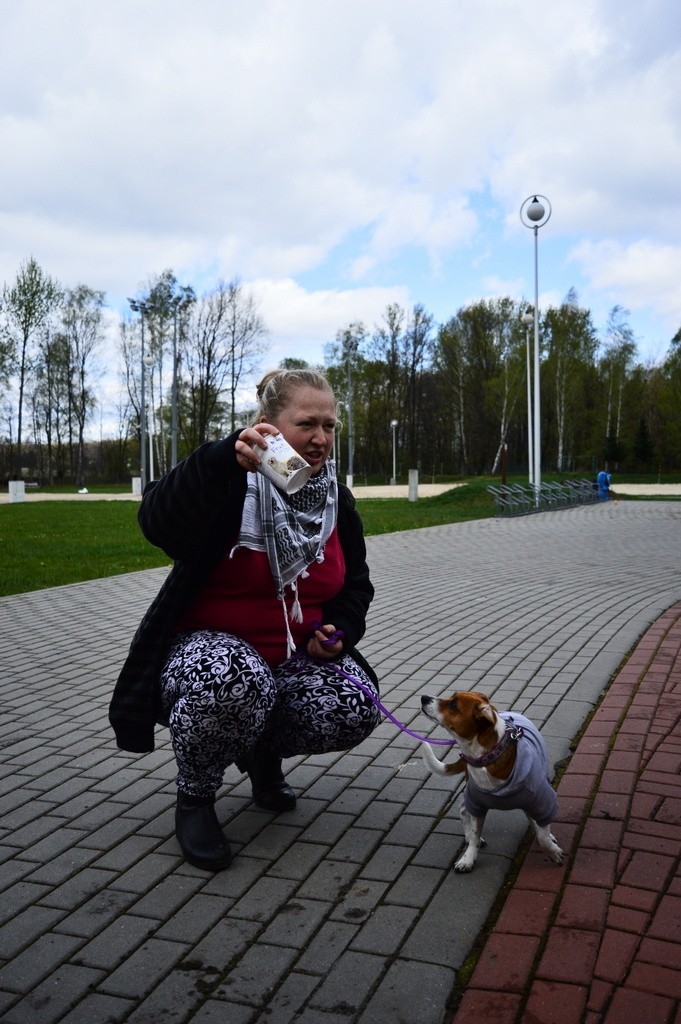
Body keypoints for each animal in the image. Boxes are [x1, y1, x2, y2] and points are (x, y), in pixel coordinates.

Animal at [419, 688, 561, 872]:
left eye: (453, 704)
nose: (424, 698)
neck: (487, 758)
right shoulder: (476, 803)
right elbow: (474, 835)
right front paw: (468, 858)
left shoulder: (542, 800)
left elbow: (543, 836)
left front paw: (553, 852)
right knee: (463, 810)